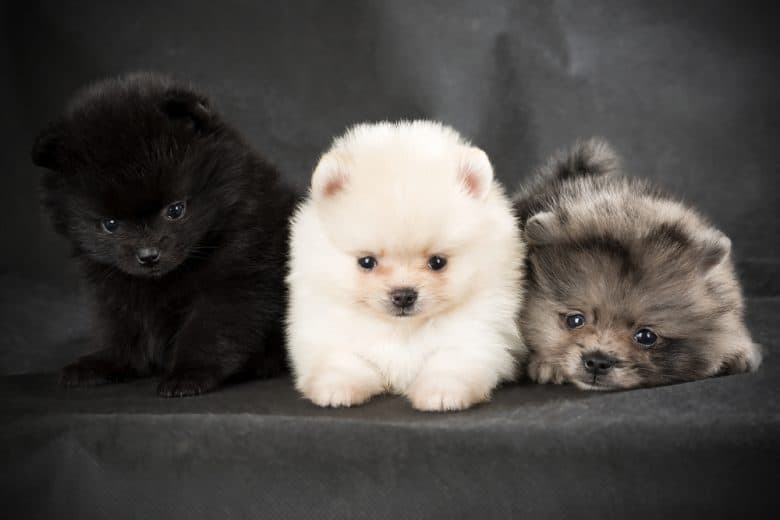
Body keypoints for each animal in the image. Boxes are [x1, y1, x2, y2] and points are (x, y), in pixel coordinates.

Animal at [32, 73, 298, 396]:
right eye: (110, 224)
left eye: (175, 210)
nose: (148, 256)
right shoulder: (112, 287)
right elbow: (118, 328)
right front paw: (106, 363)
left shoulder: (236, 278)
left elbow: (208, 329)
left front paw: (188, 373)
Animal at [286, 121, 524, 410]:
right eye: (367, 262)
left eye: (437, 262)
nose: (403, 295)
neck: (401, 330)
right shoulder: (327, 330)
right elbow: (344, 358)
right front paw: (337, 387)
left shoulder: (476, 335)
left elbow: (452, 361)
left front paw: (441, 392)